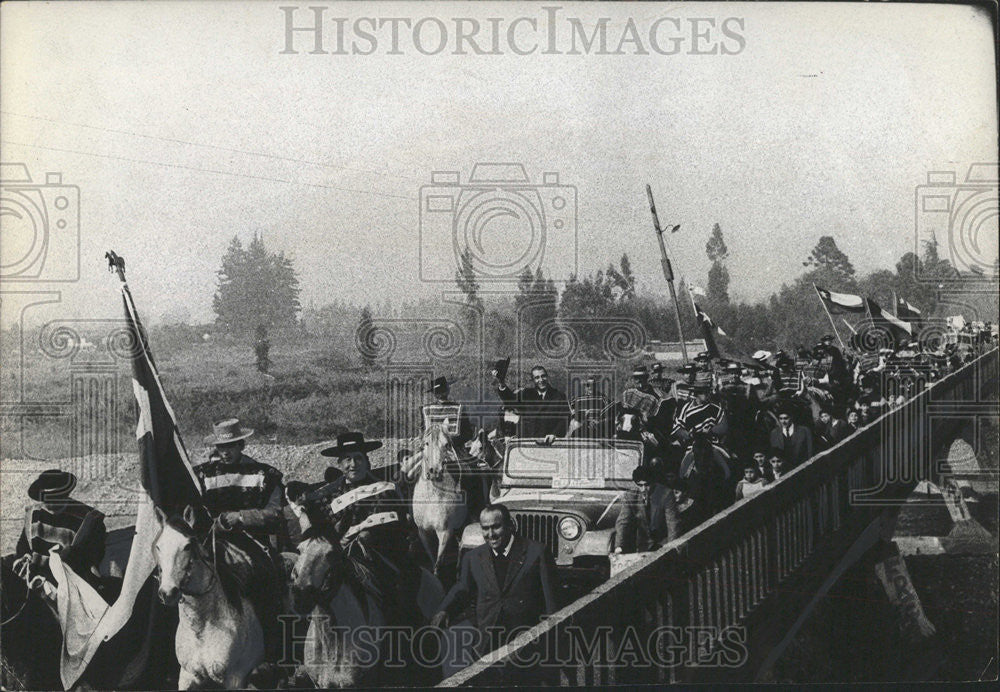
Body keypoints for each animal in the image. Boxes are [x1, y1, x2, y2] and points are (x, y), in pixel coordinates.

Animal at [152, 506, 278, 688]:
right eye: (158, 547)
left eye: (187, 546)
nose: (168, 592)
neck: (201, 629)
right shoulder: (187, 676)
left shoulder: (235, 679)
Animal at [400, 422, 470, 580]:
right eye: (426, 443)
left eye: (447, 444)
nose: (435, 472)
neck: (432, 498)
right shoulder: (423, 532)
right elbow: (433, 560)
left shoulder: (445, 532)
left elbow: (439, 563)